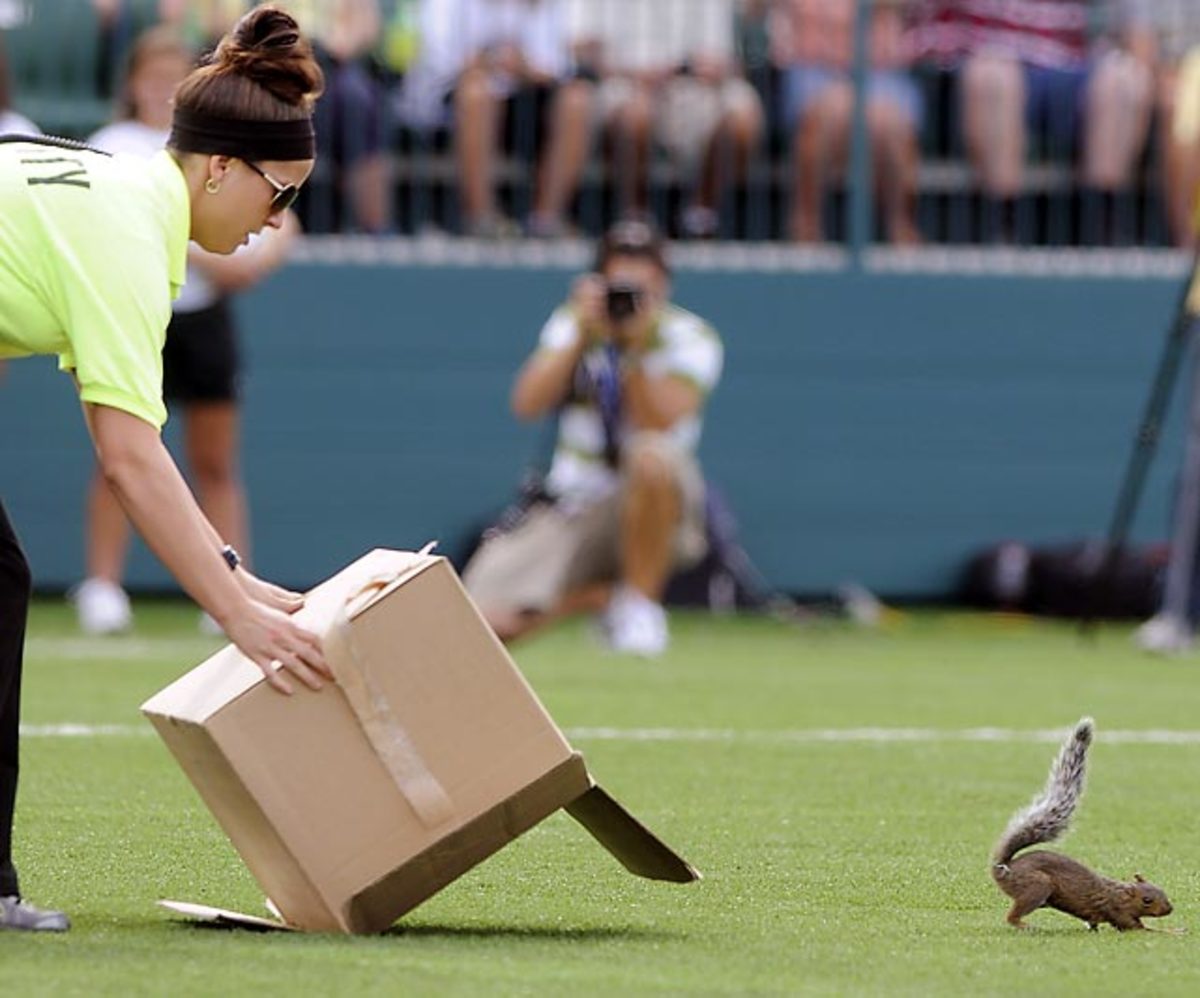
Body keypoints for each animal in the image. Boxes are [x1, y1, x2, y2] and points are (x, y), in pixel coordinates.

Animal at [993, 719, 1171, 930]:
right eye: (1146, 900)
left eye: (1161, 890)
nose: (1169, 909)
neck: (1119, 894)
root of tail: (1003, 868)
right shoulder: (1118, 913)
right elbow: (1140, 928)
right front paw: (1175, 931)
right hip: (1036, 887)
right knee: (1011, 916)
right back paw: (1025, 926)